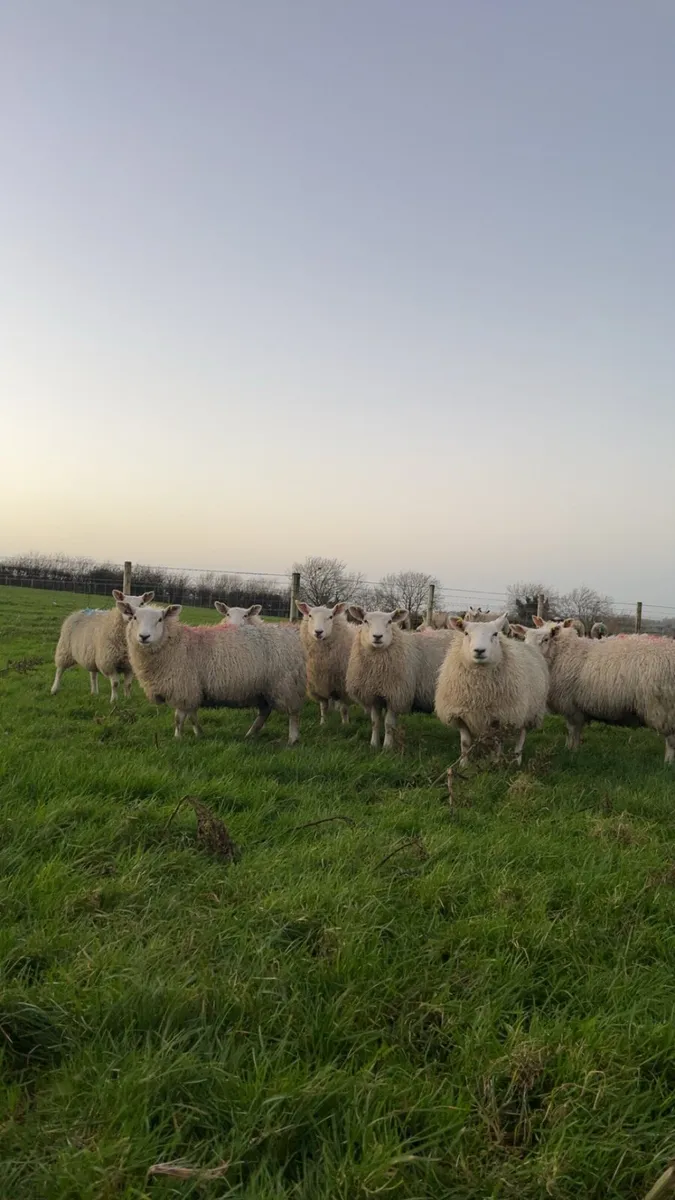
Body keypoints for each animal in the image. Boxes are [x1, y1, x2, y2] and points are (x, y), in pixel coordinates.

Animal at [117, 601, 307, 744]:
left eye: (160, 619)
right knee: (265, 711)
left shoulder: (183, 687)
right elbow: (192, 715)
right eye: (134, 617)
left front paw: (177, 738)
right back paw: (251, 734)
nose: (144, 637)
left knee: (294, 713)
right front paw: (199, 733)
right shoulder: (193, 689)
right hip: (264, 688)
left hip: (286, 685)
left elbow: (179, 718)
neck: (177, 644)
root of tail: (292, 631)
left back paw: (292, 739)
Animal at [346, 607, 454, 750]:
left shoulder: (396, 695)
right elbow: (375, 722)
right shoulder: (373, 695)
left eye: (390, 621)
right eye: (365, 621)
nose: (377, 637)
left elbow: (388, 724)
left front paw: (387, 747)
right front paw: (374, 744)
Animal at [434, 613, 549, 766]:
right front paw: (464, 764)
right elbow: (465, 743)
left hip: (529, 712)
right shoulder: (460, 715)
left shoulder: (501, 716)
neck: (479, 691)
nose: (479, 650)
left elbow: (497, 742)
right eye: (466, 633)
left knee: (521, 736)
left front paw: (495, 763)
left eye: (495, 634)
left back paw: (517, 759)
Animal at [523, 618, 675, 762]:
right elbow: (574, 732)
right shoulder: (577, 708)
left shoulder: (572, 706)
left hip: (665, 708)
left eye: (545, 639)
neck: (562, 653)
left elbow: (572, 731)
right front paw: (572, 749)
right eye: (524, 638)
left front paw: (571, 751)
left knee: (670, 740)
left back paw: (667, 763)